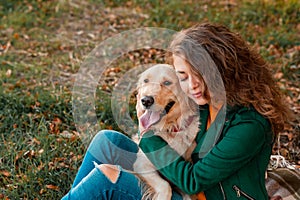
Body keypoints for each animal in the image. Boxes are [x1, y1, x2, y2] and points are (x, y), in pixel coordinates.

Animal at [133, 64, 199, 200]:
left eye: (167, 83)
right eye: (146, 81)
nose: (146, 100)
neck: (170, 128)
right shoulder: (141, 163)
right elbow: (164, 185)